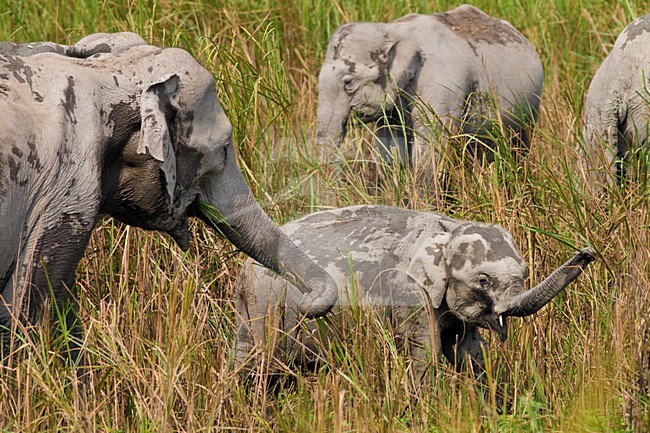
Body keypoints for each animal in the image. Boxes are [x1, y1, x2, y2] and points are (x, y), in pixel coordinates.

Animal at [235, 205, 596, 378]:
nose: (588, 252)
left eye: (524, 272)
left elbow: (468, 355)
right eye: (483, 281)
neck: (446, 228)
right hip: (262, 304)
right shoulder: (408, 295)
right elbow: (425, 355)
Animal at [314, 5, 540, 170]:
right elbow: (391, 146)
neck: (390, 29)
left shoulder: (441, 86)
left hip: (530, 108)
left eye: (348, 83)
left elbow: (430, 147)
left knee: (518, 147)